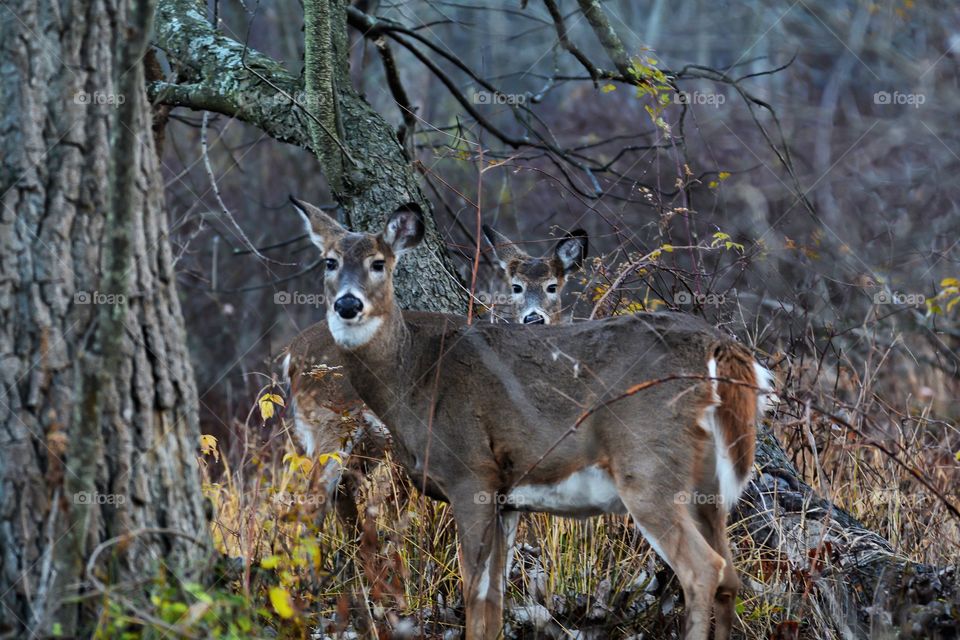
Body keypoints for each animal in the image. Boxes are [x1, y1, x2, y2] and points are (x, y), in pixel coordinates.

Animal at [288, 196, 776, 640]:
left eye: (378, 263)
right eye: (330, 261)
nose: (348, 305)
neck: (414, 376)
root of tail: (720, 348)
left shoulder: (471, 474)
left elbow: (474, 595)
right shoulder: (506, 497)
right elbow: (494, 601)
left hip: (648, 464)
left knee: (703, 570)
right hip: (708, 485)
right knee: (730, 576)